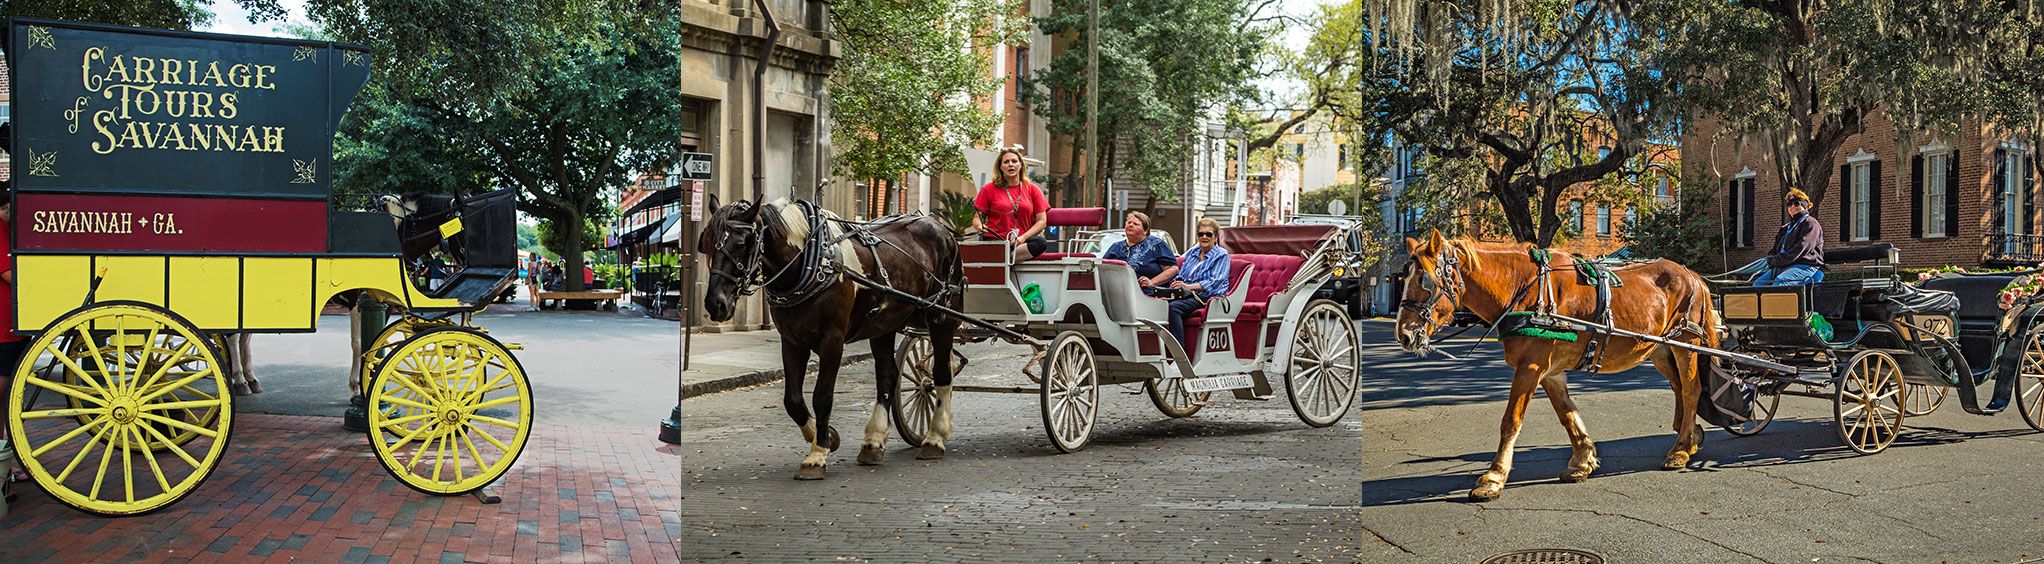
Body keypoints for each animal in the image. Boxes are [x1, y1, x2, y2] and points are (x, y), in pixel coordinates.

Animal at [699, 195, 960, 480]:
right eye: (707, 243)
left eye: (741, 244)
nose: (715, 304)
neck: (810, 263)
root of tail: (942, 228)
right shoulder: (791, 342)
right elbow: (793, 400)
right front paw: (827, 437)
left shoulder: (832, 341)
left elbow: (822, 396)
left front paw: (817, 455)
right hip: (883, 324)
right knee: (888, 376)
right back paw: (873, 441)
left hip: (942, 316)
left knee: (942, 372)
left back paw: (934, 438)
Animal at [1389, 229, 1725, 502]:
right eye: (1402, 279)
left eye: (1425, 280)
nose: (1404, 334)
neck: (1527, 291)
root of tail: (1693, 275)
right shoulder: (1549, 371)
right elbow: (1567, 414)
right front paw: (1582, 461)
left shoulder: (1531, 366)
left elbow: (1511, 421)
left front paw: (1493, 478)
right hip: (1660, 349)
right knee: (1680, 389)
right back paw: (1690, 438)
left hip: (1686, 343)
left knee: (1692, 390)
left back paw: (1680, 449)